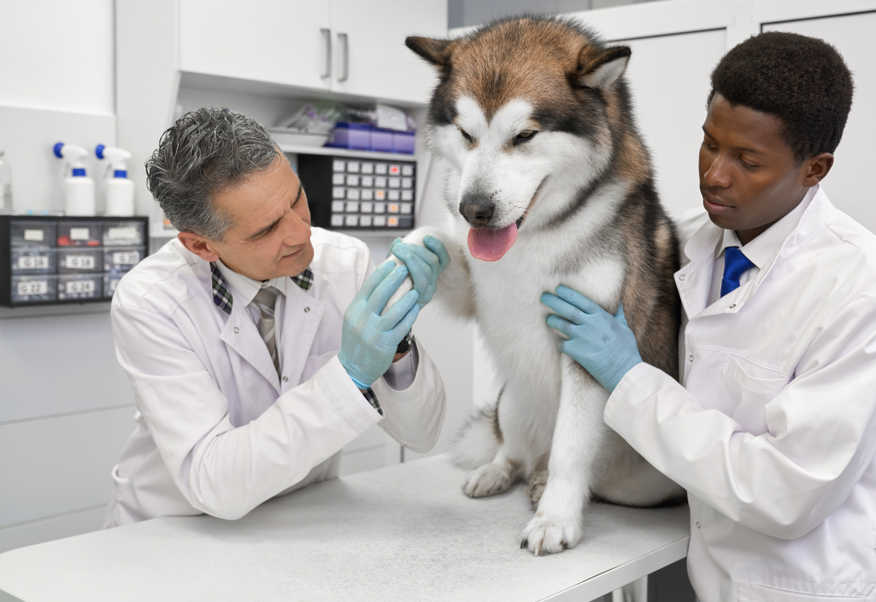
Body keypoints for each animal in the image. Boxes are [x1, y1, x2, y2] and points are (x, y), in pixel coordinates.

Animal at [400, 17, 680, 552]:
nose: (474, 209)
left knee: (567, 463)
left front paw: (555, 518)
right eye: (466, 134)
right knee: (513, 448)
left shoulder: (588, 336)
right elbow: (442, 254)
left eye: (525, 135)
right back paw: (500, 471)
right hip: (512, 399)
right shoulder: (477, 289)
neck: (538, 234)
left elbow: (571, 447)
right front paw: (411, 252)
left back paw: (544, 483)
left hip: (645, 475)